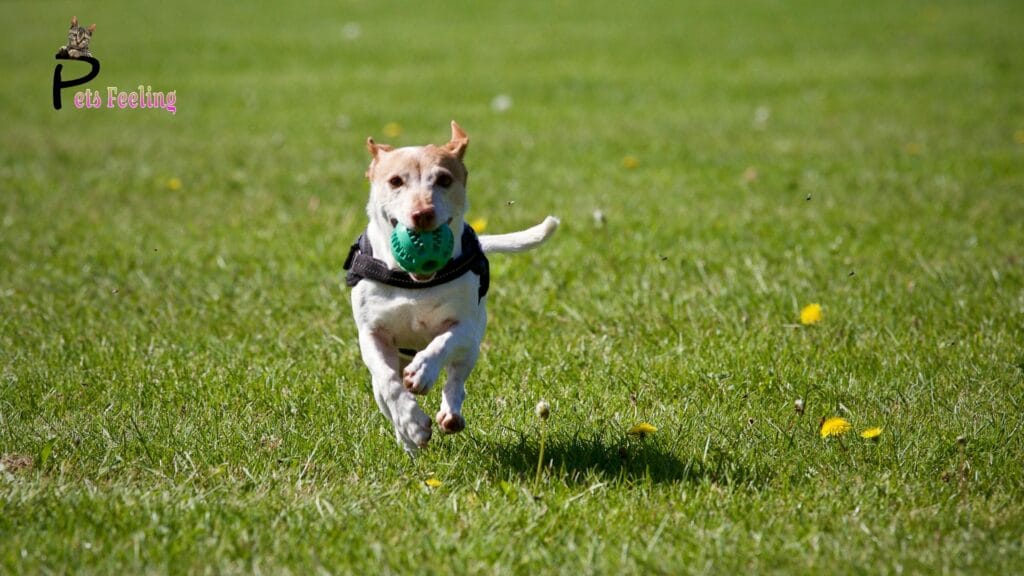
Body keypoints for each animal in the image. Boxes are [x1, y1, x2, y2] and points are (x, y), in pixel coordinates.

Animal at [348, 121, 565, 453]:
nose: (422, 213)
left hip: (472, 348)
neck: (413, 283)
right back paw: (408, 441)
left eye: (444, 179)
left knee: (456, 378)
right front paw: (412, 423)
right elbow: (388, 382)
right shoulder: (371, 333)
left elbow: (443, 343)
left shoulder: (465, 326)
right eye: (395, 181)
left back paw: (450, 413)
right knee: (385, 392)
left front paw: (423, 372)